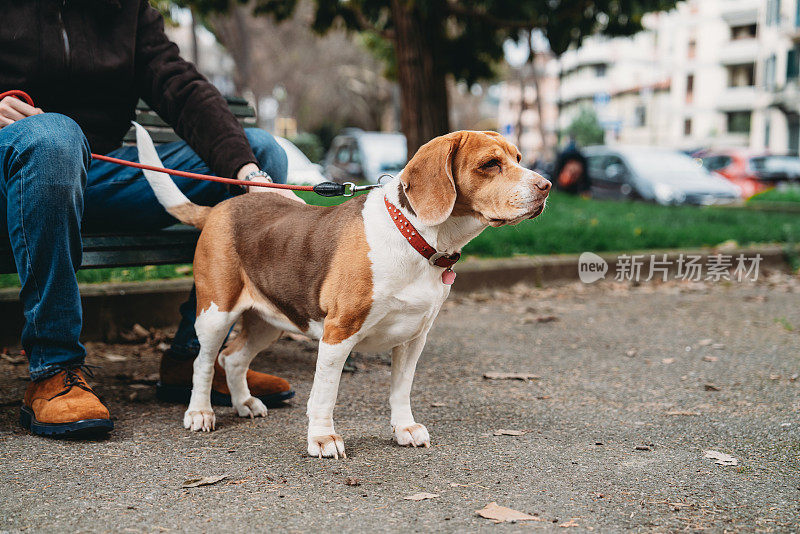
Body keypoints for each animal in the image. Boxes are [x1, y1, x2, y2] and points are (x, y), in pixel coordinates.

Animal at [138, 124, 552, 456]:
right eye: (490, 164)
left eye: (518, 158)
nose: (546, 186)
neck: (415, 238)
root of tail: (221, 208)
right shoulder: (339, 333)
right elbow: (325, 394)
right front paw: (322, 439)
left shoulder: (414, 336)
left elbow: (401, 389)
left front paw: (405, 428)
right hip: (215, 313)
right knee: (205, 362)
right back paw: (200, 412)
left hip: (268, 321)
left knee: (234, 358)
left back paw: (244, 403)